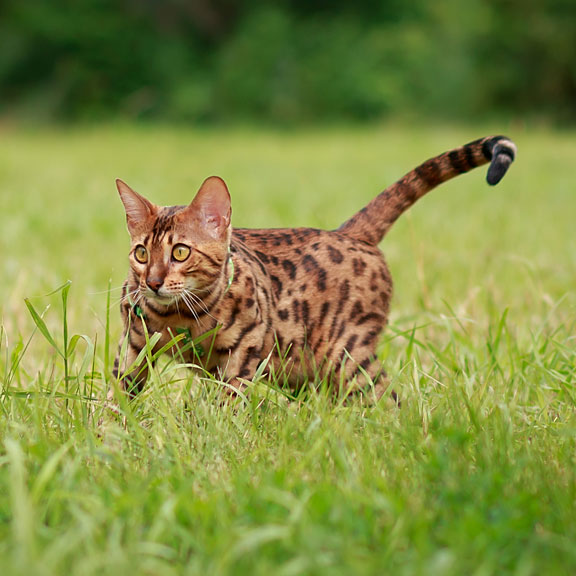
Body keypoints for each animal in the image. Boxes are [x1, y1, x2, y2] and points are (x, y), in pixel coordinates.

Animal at [112, 135, 516, 400]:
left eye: (180, 252)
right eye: (141, 254)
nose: (152, 282)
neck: (178, 318)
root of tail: (350, 232)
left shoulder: (243, 355)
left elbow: (222, 408)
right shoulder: (133, 345)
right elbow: (116, 398)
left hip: (347, 356)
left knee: (389, 402)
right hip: (307, 372)